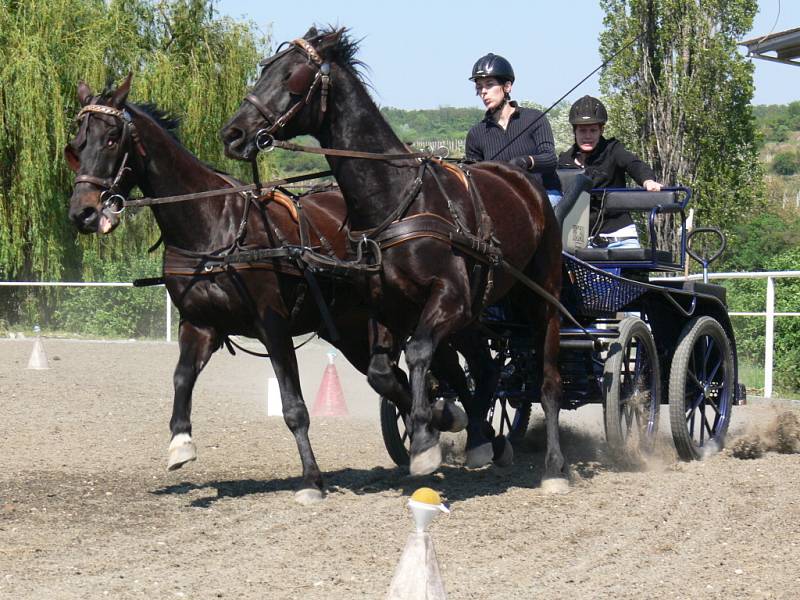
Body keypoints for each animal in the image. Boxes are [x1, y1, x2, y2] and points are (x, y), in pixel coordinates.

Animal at [67, 76, 468, 506]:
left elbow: (293, 406)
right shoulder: (199, 325)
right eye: (76, 144)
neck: (213, 226)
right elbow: (181, 378)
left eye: (112, 138)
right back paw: (435, 424)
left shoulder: (272, 325)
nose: (82, 212)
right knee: (394, 378)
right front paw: (180, 444)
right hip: (349, 330)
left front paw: (311, 479)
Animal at [220, 28, 568, 488]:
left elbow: (419, 353)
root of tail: (524, 182)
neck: (396, 196)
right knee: (486, 371)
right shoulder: (389, 306)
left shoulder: (448, 298)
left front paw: (424, 438)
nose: (232, 134)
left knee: (547, 378)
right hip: (475, 312)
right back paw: (484, 440)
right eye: (265, 70)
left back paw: (554, 466)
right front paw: (439, 420)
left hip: (542, 296)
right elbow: (384, 373)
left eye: (291, 75)